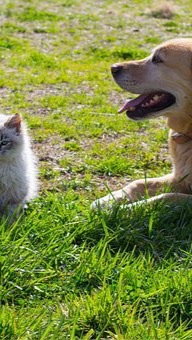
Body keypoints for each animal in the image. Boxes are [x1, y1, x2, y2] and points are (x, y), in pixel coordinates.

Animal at [92, 38, 192, 209]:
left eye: (157, 59)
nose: (113, 67)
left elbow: (167, 197)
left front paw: (125, 209)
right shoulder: (180, 177)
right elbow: (138, 183)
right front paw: (108, 200)